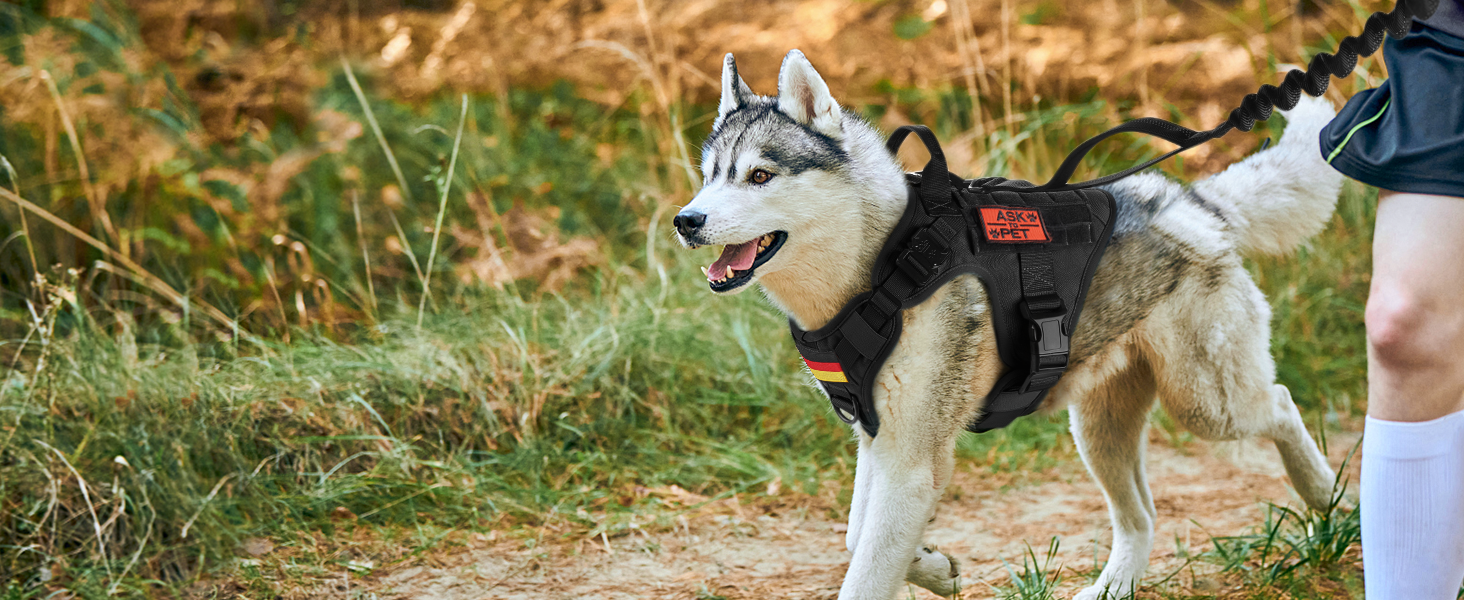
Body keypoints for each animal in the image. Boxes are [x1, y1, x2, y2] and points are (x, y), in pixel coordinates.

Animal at [670, 50, 1341, 600]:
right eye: (710, 176)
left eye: (759, 176)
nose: (686, 221)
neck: (882, 266)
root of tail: (1196, 201)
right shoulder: (881, 442)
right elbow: (858, 539)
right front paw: (936, 568)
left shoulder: (911, 458)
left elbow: (864, 565)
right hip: (1099, 432)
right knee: (1143, 519)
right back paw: (1111, 589)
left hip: (1206, 405)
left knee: (1282, 403)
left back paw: (1325, 497)